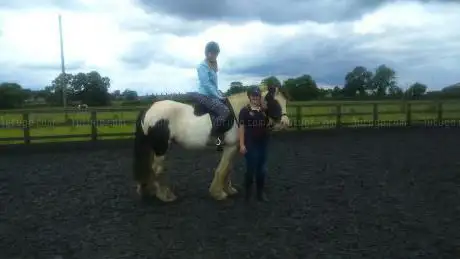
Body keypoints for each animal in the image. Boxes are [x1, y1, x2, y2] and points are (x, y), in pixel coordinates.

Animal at [133, 85, 292, 203]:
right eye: (273, 102)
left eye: (285, 102)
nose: (285, 123)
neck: (238, 112)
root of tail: (149, 110)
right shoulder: (230, 147)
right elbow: (222, 169)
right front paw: (218, 193)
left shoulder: (233, 147)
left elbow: (228, 168)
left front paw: (229, 190)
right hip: (161, 148)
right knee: (157, 169)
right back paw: (165, 196)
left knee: (151, 168)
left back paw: (147, 189)